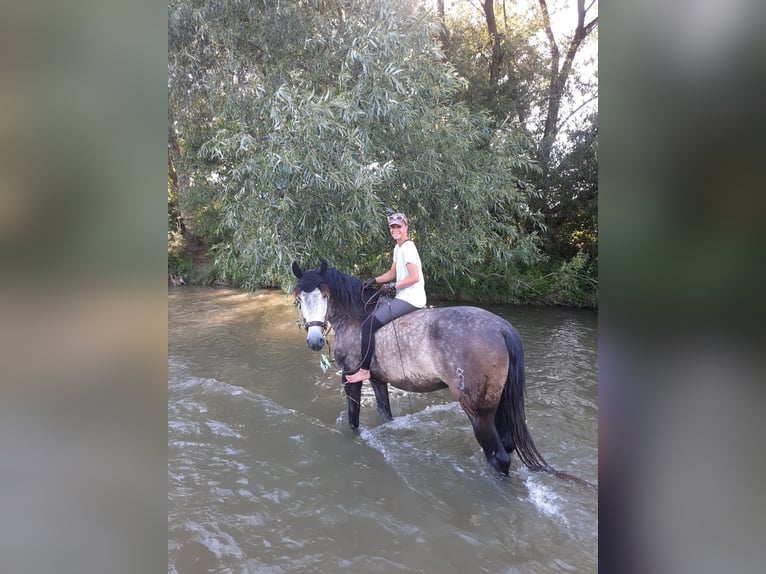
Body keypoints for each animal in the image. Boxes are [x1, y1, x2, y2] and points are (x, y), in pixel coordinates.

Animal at [292, 259, 594, 487]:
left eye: (324, 294)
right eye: (300, 297)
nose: (314, 341)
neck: (356, 317)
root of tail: (501, 329)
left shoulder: (351, 378)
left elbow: (353, 420)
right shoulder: (378, 381)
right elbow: (385, 413)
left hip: (478, 412)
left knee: (499, 457)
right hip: (498, 406)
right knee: (507, 446)